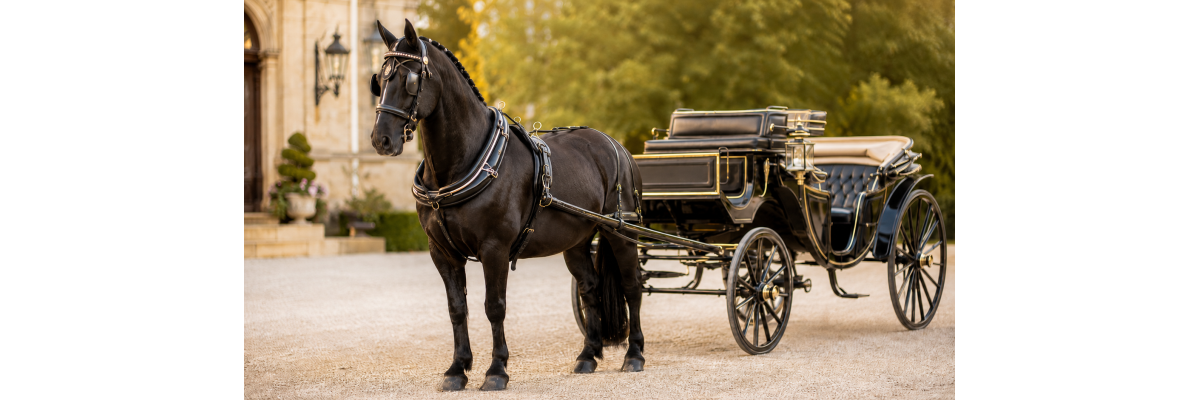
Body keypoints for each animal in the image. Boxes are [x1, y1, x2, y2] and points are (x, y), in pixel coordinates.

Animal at [369, 19, 646, 391]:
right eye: (380, 80)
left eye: (411, 78)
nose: (381, 140)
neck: (464, 161)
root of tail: (615, 144)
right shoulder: (441, 252)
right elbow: (457, 308)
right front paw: (457, 369)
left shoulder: (495, 248)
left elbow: (494, 306)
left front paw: (496, 369)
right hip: (575, 241)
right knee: (590, 288)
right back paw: (588, 355)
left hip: (621, 233)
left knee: (632, 287)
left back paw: (635, 354)